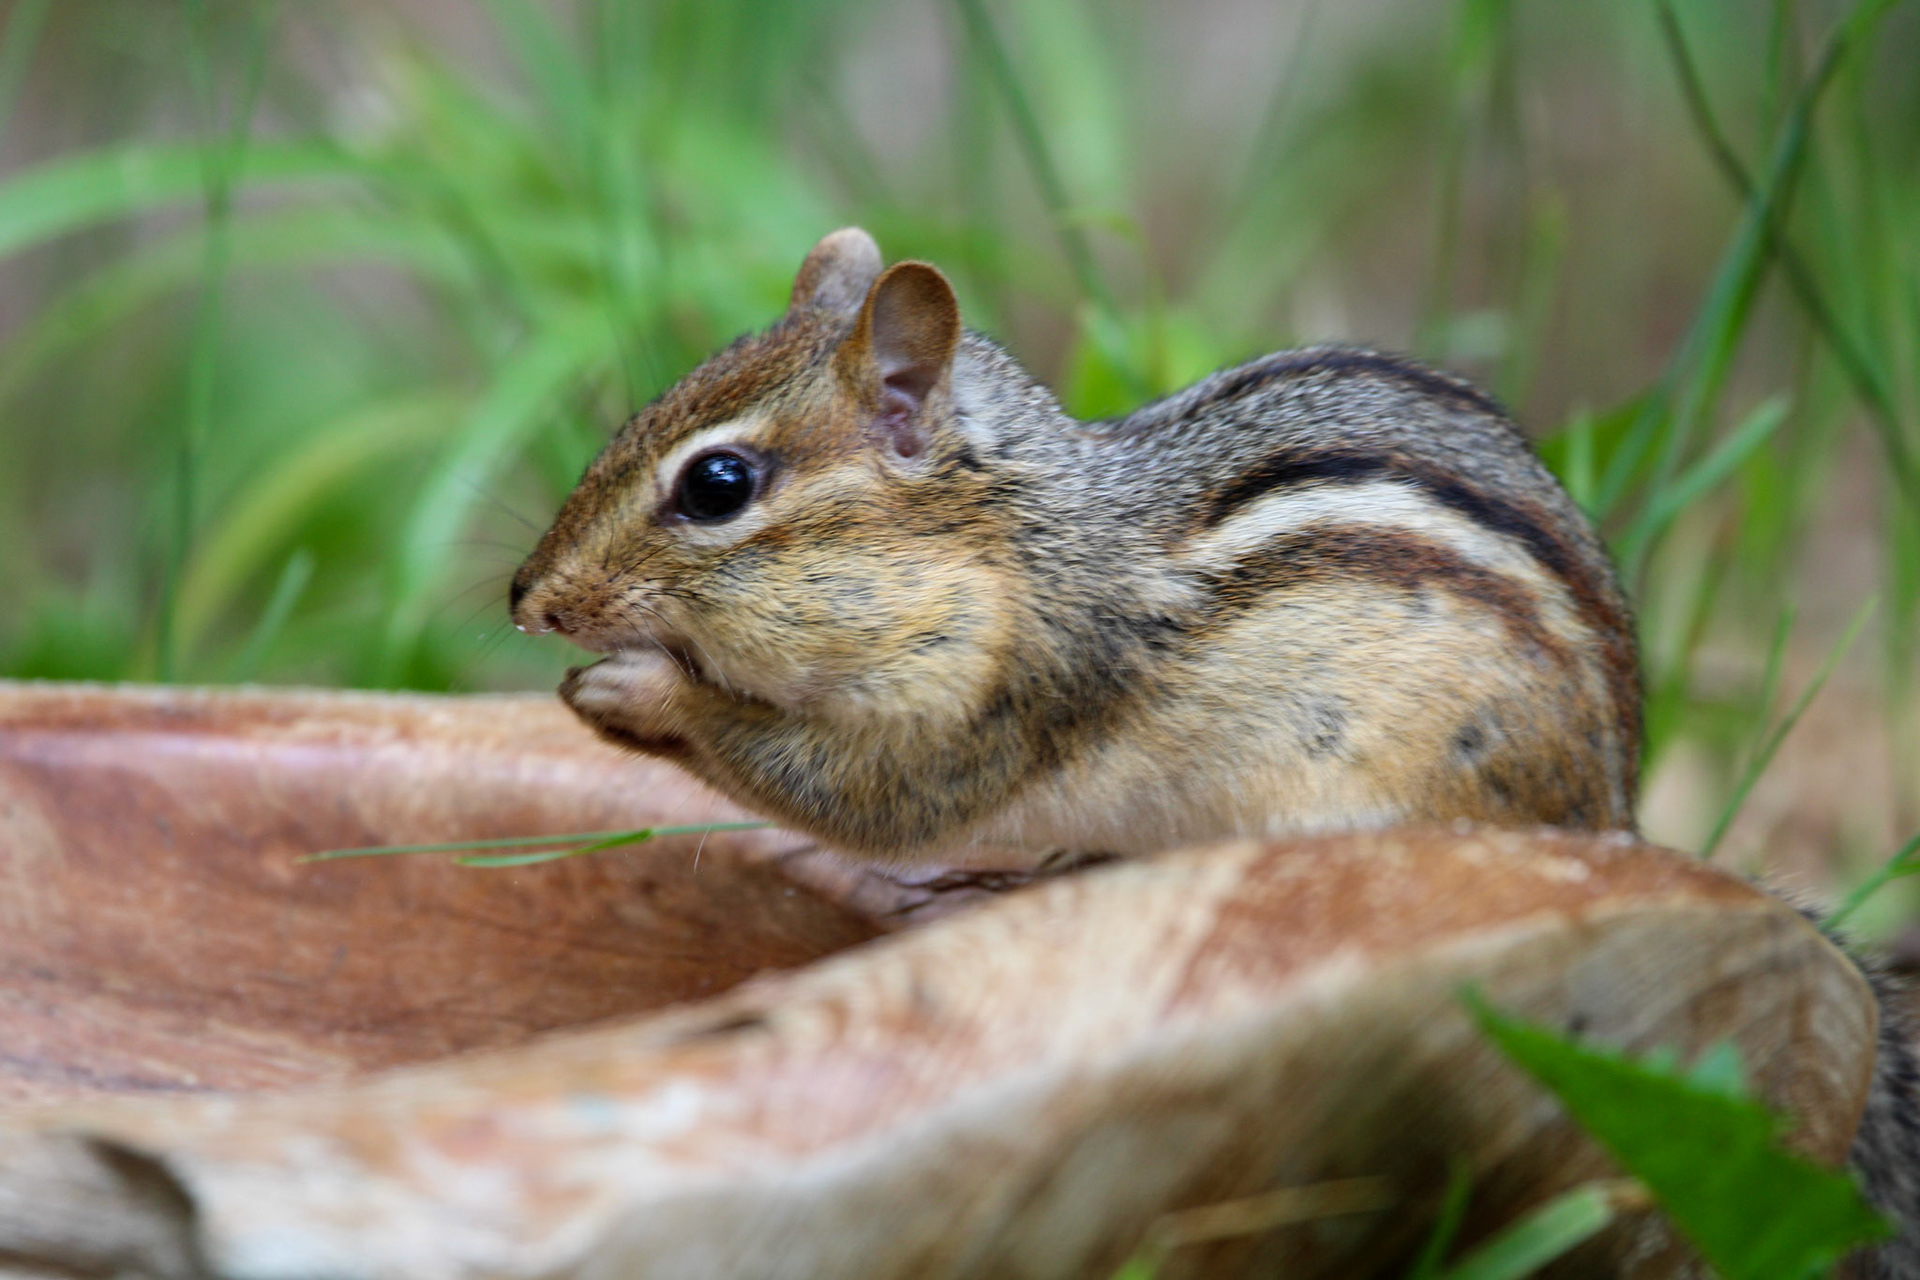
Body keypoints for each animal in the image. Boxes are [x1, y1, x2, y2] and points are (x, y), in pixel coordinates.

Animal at [510, 227, 1919, 1276]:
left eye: (719, 485)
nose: (529, 598)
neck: (1010, 544)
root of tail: (1615, 817)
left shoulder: (1004, 695)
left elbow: (866, 796)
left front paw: (635, 689)